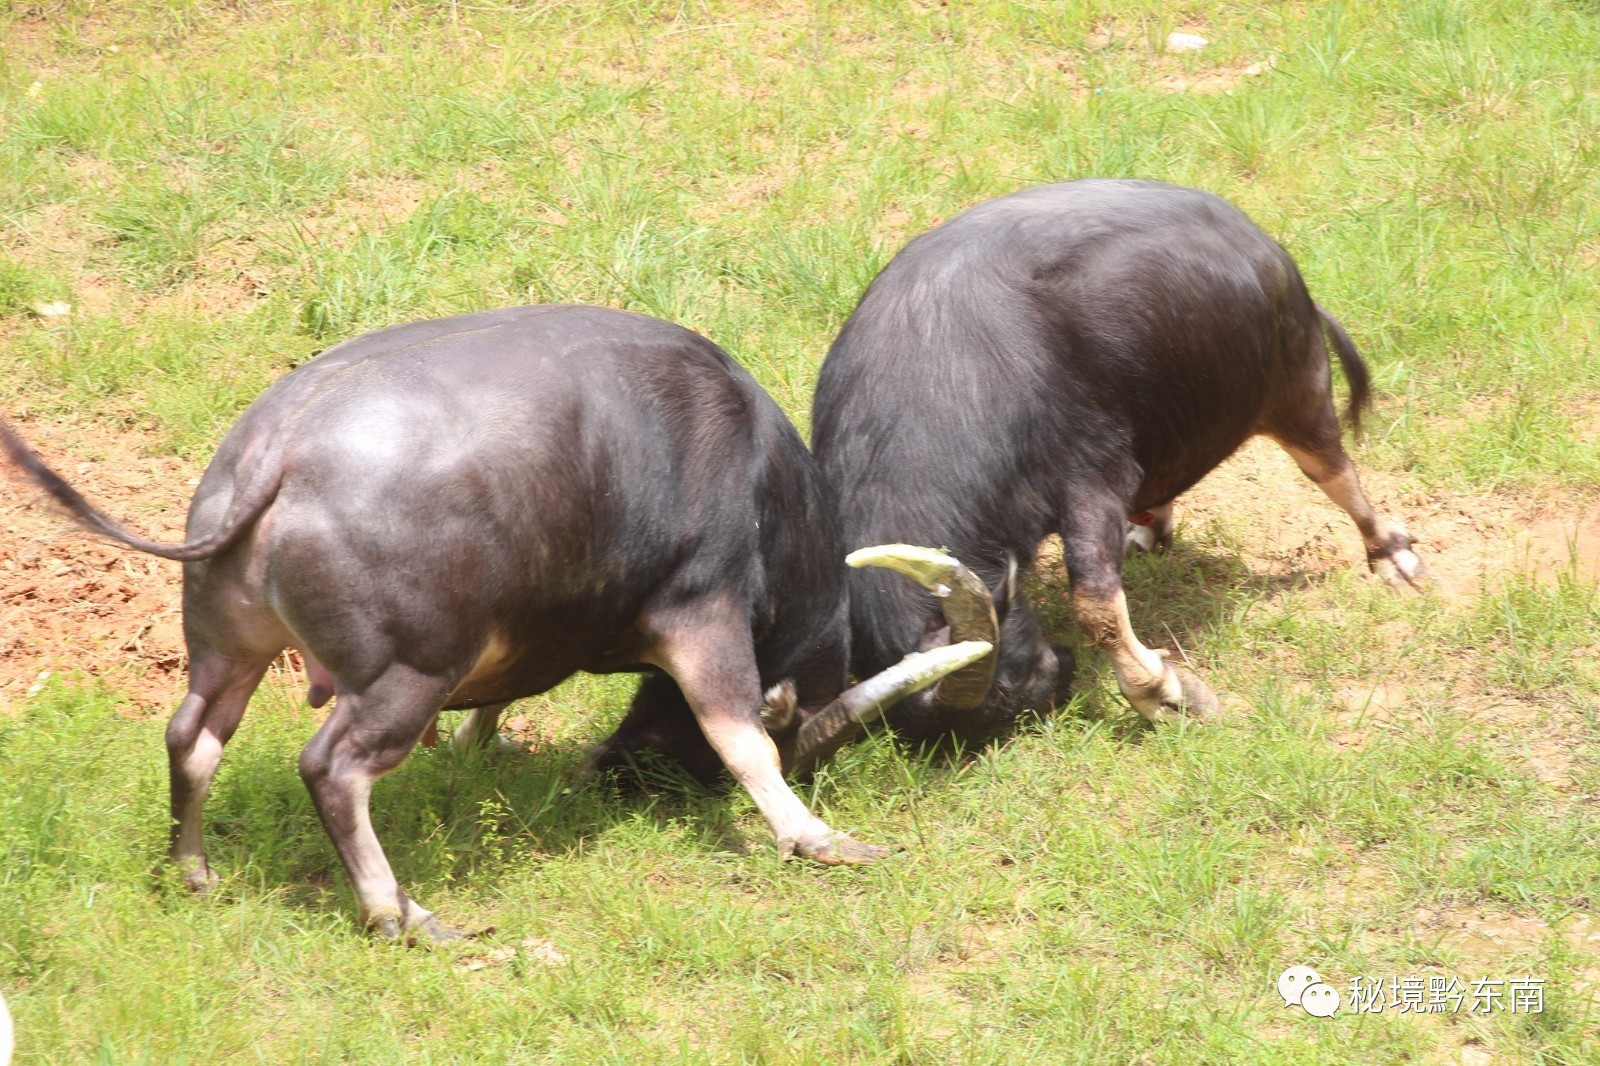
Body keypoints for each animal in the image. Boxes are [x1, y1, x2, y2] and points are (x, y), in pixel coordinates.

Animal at [3, 300, 985, 941]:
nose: (623, 775)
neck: (756, 480)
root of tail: (276, 452)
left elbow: (499, 698)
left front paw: (485, 744)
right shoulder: (704, 610)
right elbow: (742, 736)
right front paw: (820, 839)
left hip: (225, 647)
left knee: (193, 738)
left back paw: (196, 870)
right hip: (401, 673)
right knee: (332, 769)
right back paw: (400, 914)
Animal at [819, 178, 1433, 739]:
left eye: (1008, 685)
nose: (1059, 682)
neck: (937, 378)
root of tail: (1272, 255)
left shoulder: (1091, 478)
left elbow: (1094, 603)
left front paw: (1165, 694)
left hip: (1298, 387)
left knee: (1334, 470)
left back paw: (1390, 554)